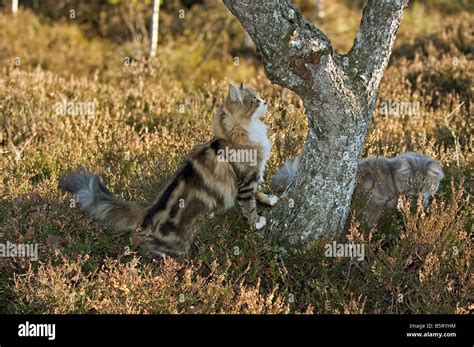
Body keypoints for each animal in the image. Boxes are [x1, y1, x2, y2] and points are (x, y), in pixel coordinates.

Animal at [61, 83, 280, 258]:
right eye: (255, 100)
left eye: (259, 95)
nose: (266, 101)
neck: (241, 132)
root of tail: (150, 211)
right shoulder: (245, 180)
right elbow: (249, 206)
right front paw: (257, 222)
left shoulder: (253, 176)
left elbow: (259, 192)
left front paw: (270, 199)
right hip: (174, 246)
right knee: (145, 247)